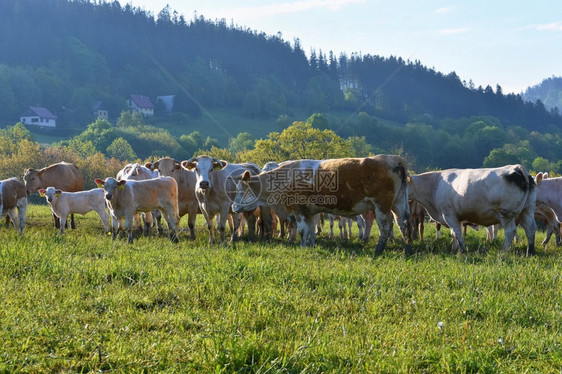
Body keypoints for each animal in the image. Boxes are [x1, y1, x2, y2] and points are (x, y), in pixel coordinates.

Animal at [231, 153, 412, 256]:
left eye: (241, 189)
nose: (233, 207)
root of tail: (394, 158)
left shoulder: (299, 210)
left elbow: (303, 230)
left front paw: (303, 246)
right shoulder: (310, 211)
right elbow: (311, 229)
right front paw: (311, 245)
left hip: (381, 206)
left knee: (386, 228)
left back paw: (378, 250)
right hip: (399, 204)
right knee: (403, 224)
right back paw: (408, 249)